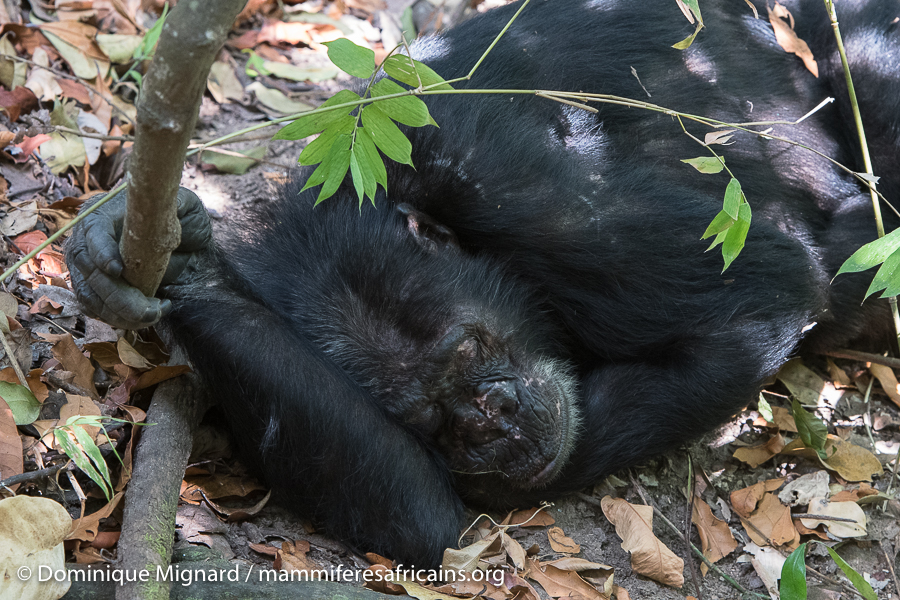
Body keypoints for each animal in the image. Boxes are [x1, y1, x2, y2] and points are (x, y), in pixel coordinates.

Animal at [67, 0, 896, 568]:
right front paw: (171, 261)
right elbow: (420, 514)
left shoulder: (517, 187)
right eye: (428, 414)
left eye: (467, 346)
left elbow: (765, 295)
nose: (491, 422)